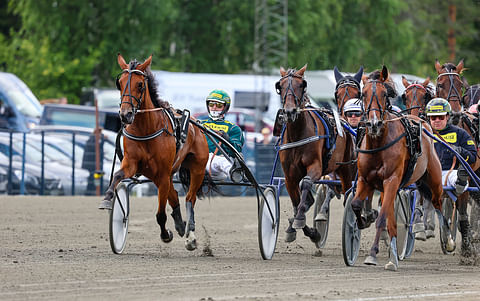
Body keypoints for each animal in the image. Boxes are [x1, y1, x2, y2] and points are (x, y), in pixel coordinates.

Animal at [99, 54, 208, 251]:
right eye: (120, 83)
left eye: (140, 85)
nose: (125, 114)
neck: (146, 130)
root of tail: (196, 125)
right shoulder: (132, 163)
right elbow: (118, 175)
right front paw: (108, 197)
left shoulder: (163, 173)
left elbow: (160, 215)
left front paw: (166, 235)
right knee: (175, 197)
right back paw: (181, 226)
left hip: (196, 169)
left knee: (190, 198)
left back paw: (190, 235)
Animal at [274, 65, 356, 244]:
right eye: (280, 86)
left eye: (301, 85)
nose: (289, 111)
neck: (298, 134)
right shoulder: (289, 176)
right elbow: (297, 203)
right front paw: (306, 230)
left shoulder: (316, 167)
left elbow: (305, 184)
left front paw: (299, 220)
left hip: (347, 168)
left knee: (349, 192)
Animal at [350, 65, 444, 270]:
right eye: (363, 94)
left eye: (385, 94)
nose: (374, 123)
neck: (378, 144)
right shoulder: (365, 180)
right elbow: (356, 205)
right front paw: (361, 222)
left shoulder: (391, 180)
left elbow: (382, 218)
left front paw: (372, 254)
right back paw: (393, 257)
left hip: (434, 179)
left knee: (438, 203)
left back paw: (447, 240)